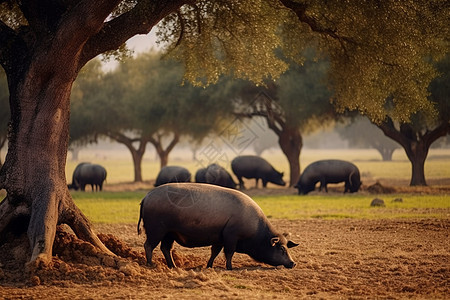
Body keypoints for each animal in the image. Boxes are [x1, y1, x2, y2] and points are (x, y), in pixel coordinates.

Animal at [137, 183, 298, 270]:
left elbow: (214, 252)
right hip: (156, 229)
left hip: (169, 233)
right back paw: (151, 264)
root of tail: (146, 197)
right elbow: (229, 252)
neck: (256, 232)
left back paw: (174, 267)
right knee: (148, 245)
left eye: (287, 247)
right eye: (281, 249)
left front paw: (209, 266)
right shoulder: (231, 236)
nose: (293, 263)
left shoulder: (219, 238)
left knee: (166, 248)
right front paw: (230, 268)